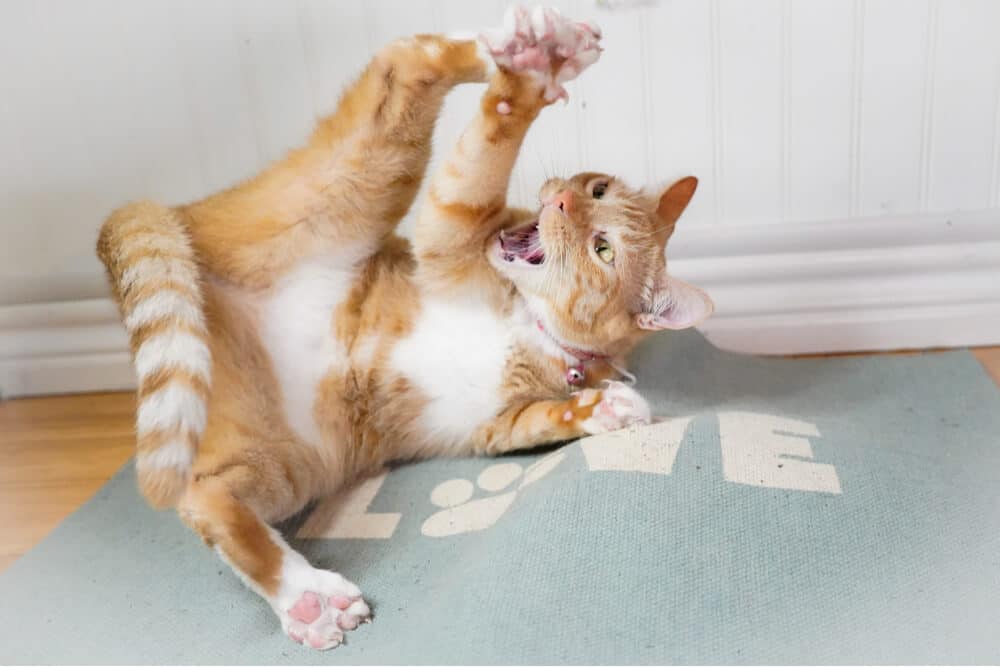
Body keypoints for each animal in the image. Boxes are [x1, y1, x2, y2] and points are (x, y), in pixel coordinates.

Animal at [95, 5, 712, 652]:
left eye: (603, 248)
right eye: (596, 190)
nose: (563, 201)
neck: (533, 326)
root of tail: (187, 224)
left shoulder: (499, 427)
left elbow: (549, 416)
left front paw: (606, 409)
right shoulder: (450, 234)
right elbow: (479, 161)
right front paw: (520, 83)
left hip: (288, 457)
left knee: (208, 497)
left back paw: (305, 597)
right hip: (354, 184)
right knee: (407, 59)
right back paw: (535, 54)